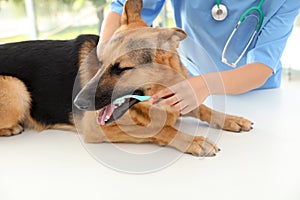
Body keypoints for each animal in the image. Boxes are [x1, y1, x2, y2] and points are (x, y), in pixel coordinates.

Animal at [0, 0, 252, 156]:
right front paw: (193, 140)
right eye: (100, 63)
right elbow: (160, 129)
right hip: (17, 87)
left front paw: (230, 118)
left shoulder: (179, 97)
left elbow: (202, 108)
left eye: (121, 69)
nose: (77, 103)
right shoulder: (97, 129)